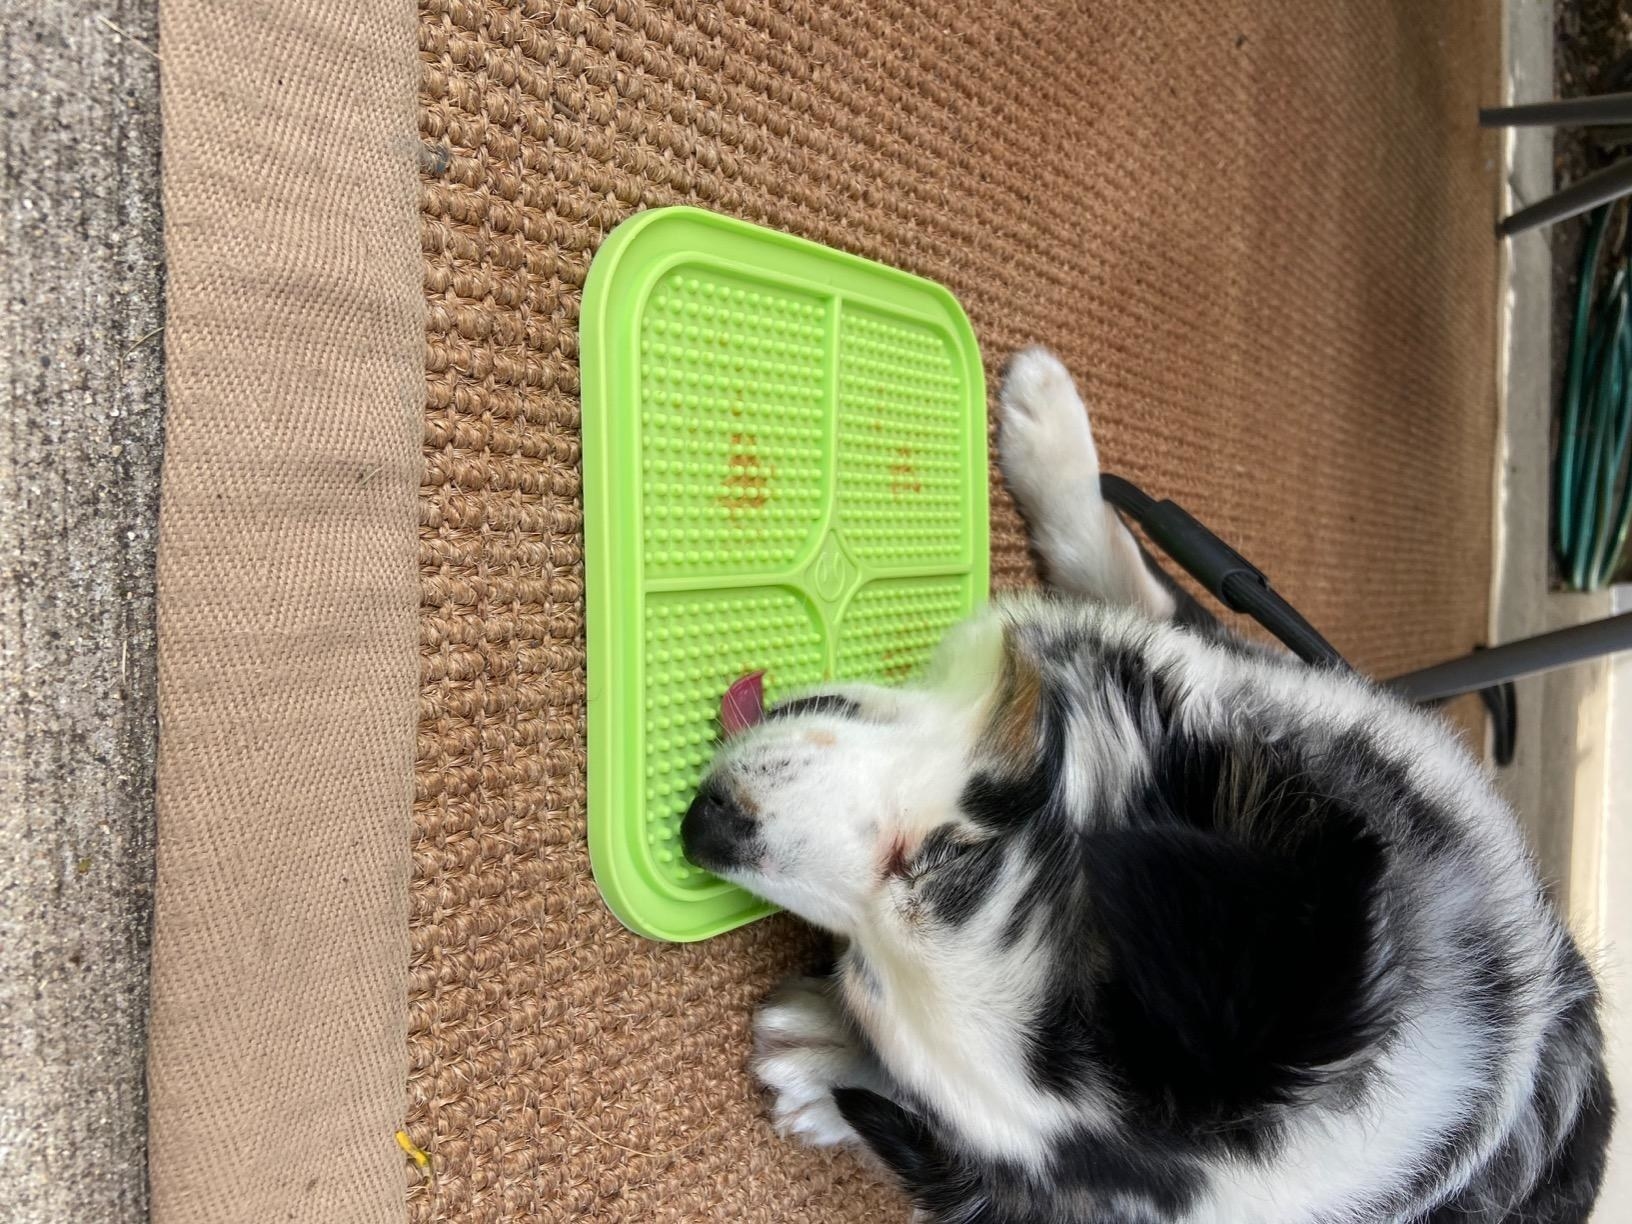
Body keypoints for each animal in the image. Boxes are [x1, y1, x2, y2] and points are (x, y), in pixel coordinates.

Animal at [682, 349, 1612, 1220]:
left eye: (943, 856)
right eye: (860, 972)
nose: (701, 827)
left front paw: (827, 1062)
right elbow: (1124, 577)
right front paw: (1050, 432)